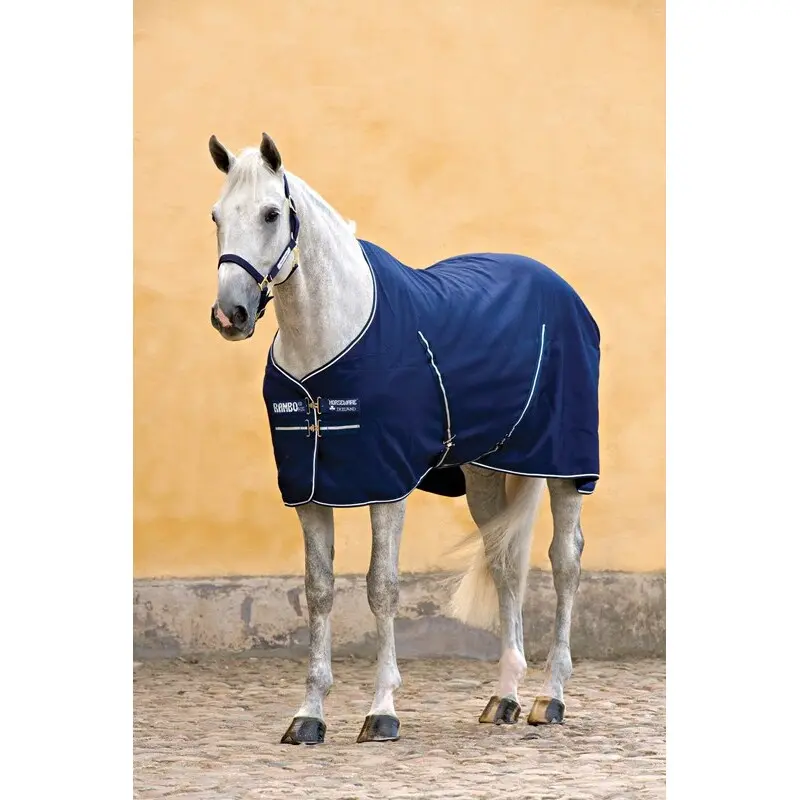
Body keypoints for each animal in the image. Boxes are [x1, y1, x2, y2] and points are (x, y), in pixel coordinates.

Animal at [207, 132, 600, 745]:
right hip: (486, 473)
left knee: (565, 562)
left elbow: (382, 586)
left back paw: (550, 697)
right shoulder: (308, 491)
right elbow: (318, 590)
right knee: (506, 563)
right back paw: (504, 697)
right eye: (217, 216)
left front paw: (383, 709)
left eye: (271, 213)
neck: (327, 341)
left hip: (564, 465)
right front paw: (309, 715)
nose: (231, 314)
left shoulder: (386, 483)